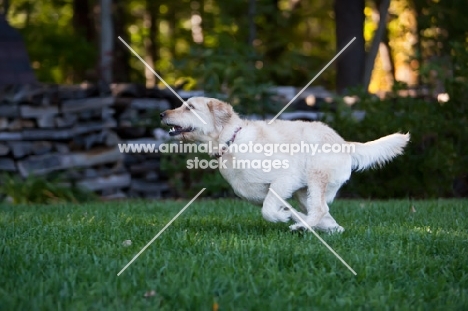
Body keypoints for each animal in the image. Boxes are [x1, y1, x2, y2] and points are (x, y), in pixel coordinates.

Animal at [161, 98, 410, 233]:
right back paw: (325, 228)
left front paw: (284, 218)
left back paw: (301, 227)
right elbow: (276, 206)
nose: (162, 113)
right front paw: (289, 214)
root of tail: (345, 143)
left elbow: (268, 210)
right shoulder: (260, 193)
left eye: (190, 107)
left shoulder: (284, 180)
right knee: (325, 213)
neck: (231, 141)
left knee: (320, 210)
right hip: (303, 192)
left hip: (315, 176)